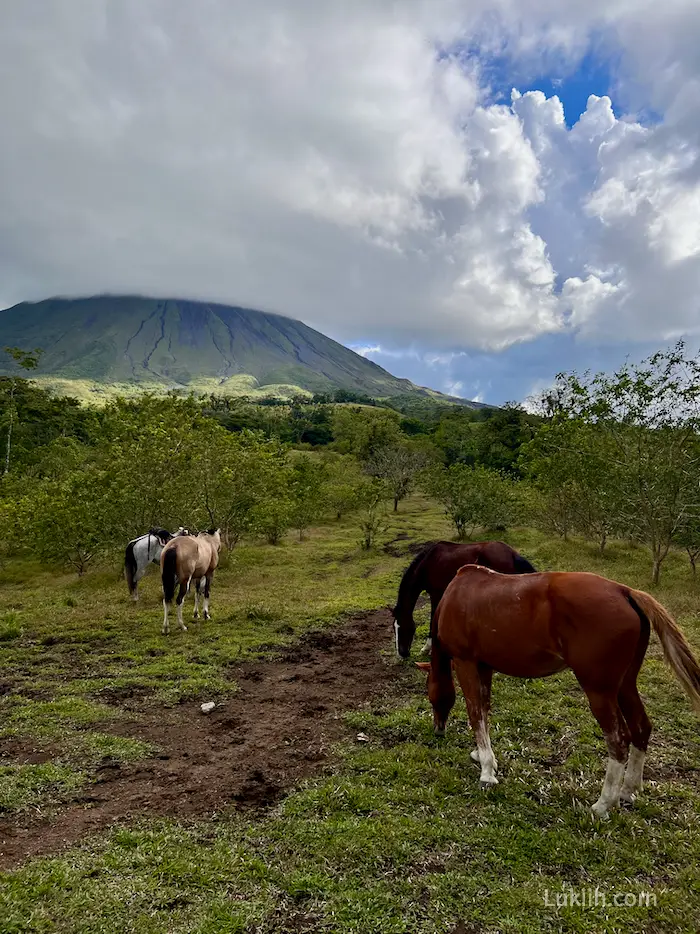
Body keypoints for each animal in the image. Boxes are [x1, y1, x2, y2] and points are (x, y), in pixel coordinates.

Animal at [388, 540, 536, 660]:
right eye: (394, 628)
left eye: (401, 628)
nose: (402, 654)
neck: (428, 563)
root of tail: (512, 554)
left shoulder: (435, 594)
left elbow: (433, 618)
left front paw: (427, 648)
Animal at [416, 564, 700, 820]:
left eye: (430, 694)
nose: (438, 728)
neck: (458, 595)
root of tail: (624, 591)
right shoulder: (484, 666)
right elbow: (484, 710)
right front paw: (484, 757)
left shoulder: (465, 662)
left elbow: (475, 712)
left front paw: (486, 771)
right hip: (625, 685)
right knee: (641, 727)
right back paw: (627, 791)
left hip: (600, 691)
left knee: (618, 740)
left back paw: (603, 804)